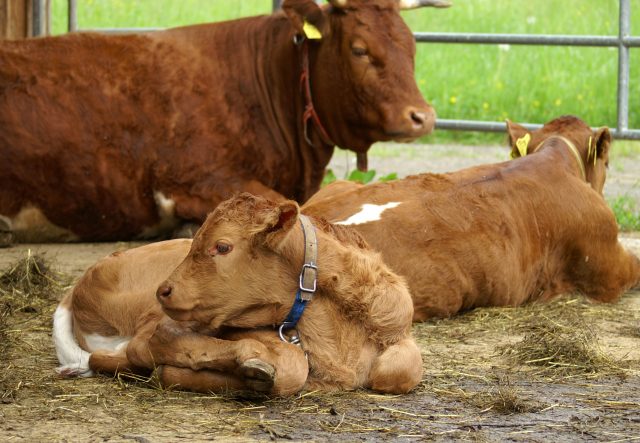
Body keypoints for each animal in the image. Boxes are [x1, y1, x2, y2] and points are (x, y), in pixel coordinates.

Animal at [55, 194, 422, 396]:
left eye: (222, 246)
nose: (165, 290)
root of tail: (79, 287)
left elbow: (402, 369)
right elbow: (293, 365)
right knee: (139, 347)